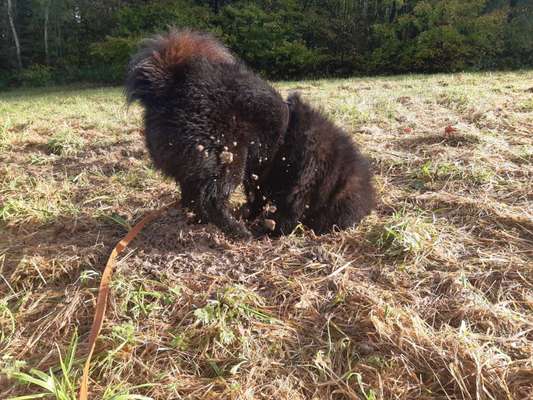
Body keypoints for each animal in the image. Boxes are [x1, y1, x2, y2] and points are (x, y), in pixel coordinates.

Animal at [125, 29, 374, 239]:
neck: (331, 170)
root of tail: (168, 86)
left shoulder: (263, 180)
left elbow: (257, 200)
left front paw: (252, 217)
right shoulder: (298, 185)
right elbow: (285, 214)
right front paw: (268, 230)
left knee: (192, 200)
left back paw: (201, 222)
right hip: (228, 158)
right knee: (212, 201)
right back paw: (238, 231)